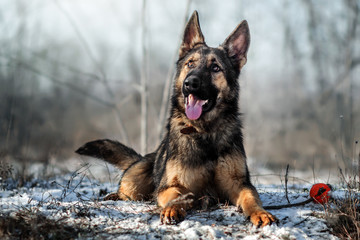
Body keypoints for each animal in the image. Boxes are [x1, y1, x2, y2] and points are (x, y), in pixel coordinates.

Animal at [76, 10, 278, 227]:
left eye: (215, 68)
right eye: (190, 64)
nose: (190, 83)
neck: (204, 132)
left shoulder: (239, 184)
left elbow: (250, 197)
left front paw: (260, 212)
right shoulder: (169, 186)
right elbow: (175, 195)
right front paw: (173, 208)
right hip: (135, 181)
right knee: (127, 192)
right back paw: (115, 195)